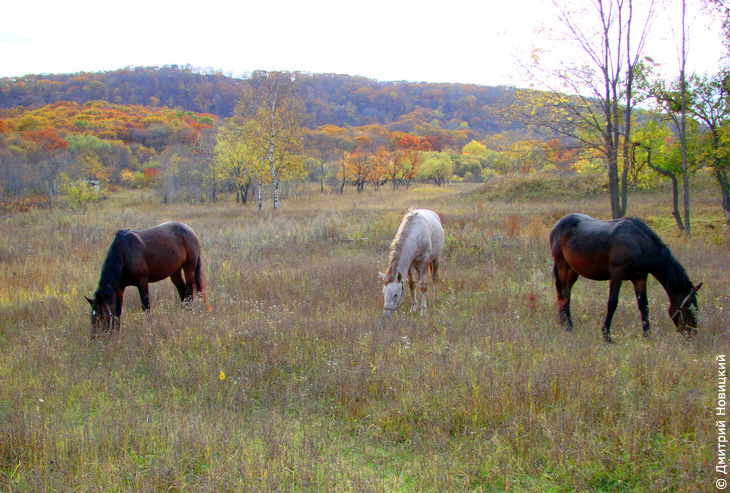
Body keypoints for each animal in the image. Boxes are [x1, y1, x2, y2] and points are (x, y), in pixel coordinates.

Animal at [549, 213, 702, 343]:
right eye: (688, 309)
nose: (691, 335)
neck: (639, 244)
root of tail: (558, 224)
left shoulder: (640, 278)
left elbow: (644, 306)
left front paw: (647, 334)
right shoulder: (617, 274)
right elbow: (612, 303)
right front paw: (606, 335)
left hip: (573, 271)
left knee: (563, 295)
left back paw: (563, 323)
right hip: (562, 266)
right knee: (565, 295)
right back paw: (569, 326)